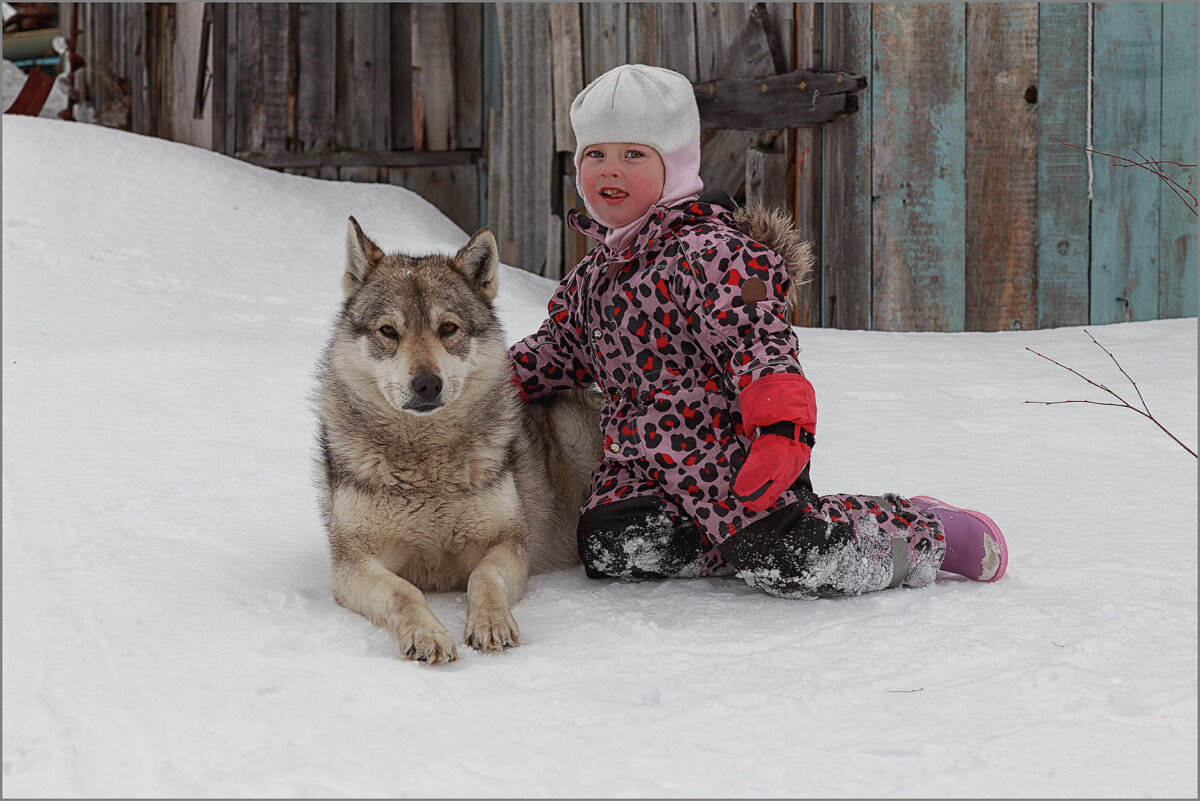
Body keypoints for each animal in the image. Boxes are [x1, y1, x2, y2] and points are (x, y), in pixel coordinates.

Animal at [316, 219, 600, 661]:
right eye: (388, 331)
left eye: (447, 328)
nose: (427, 384)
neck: (426, 462)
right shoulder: (353, 563)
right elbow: (404, 592)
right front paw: (427, 634)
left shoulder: (508, 545)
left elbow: (483, 578)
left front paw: (491, 623)